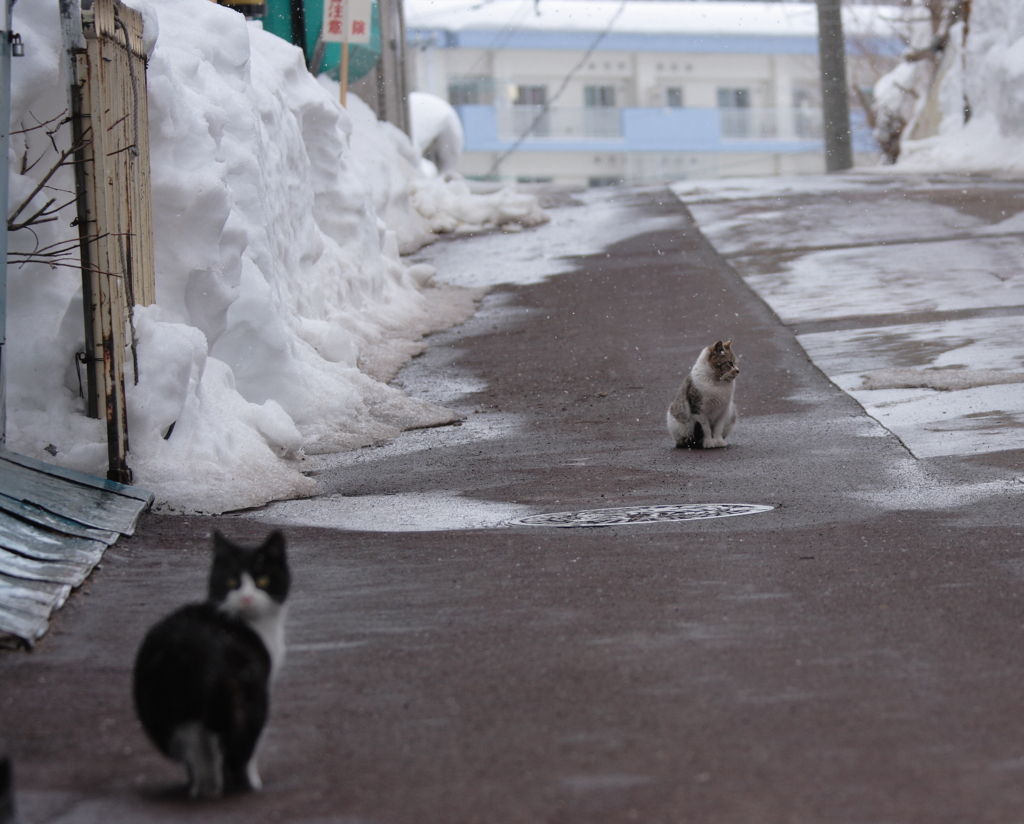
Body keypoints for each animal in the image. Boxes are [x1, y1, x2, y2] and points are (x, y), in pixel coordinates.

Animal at [133, 532, 288, 794]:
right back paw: (244, 786)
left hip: (164, 711)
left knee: (197, 754)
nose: (247, 597)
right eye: (232, 581)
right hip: (249, 697)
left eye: (263, 580)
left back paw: (203, 790)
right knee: (239, 749)